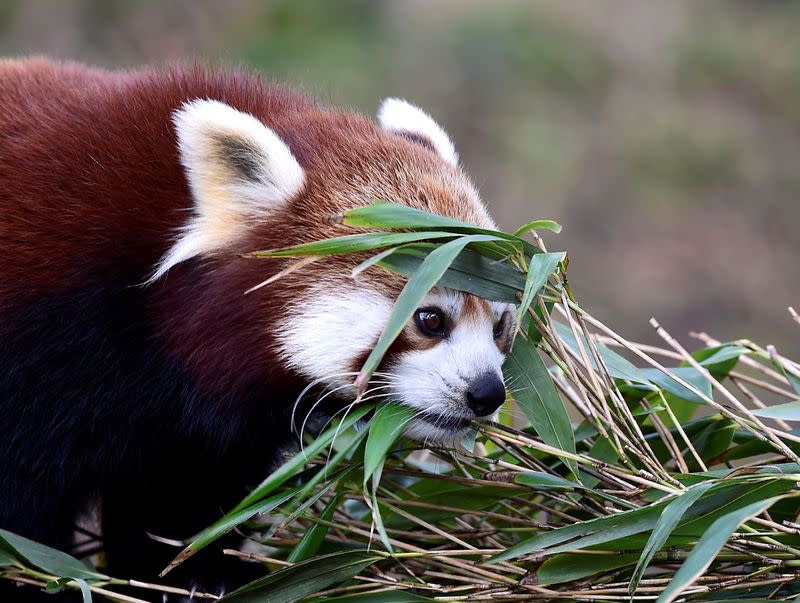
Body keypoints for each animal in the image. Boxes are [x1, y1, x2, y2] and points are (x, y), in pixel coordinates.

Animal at [0, 59, 512, 596]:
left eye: (500, 325)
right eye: (429, 319)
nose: (486, 393)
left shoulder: (190, 427)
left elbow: (180, 503)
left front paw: (200, 576)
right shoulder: (46, 349)